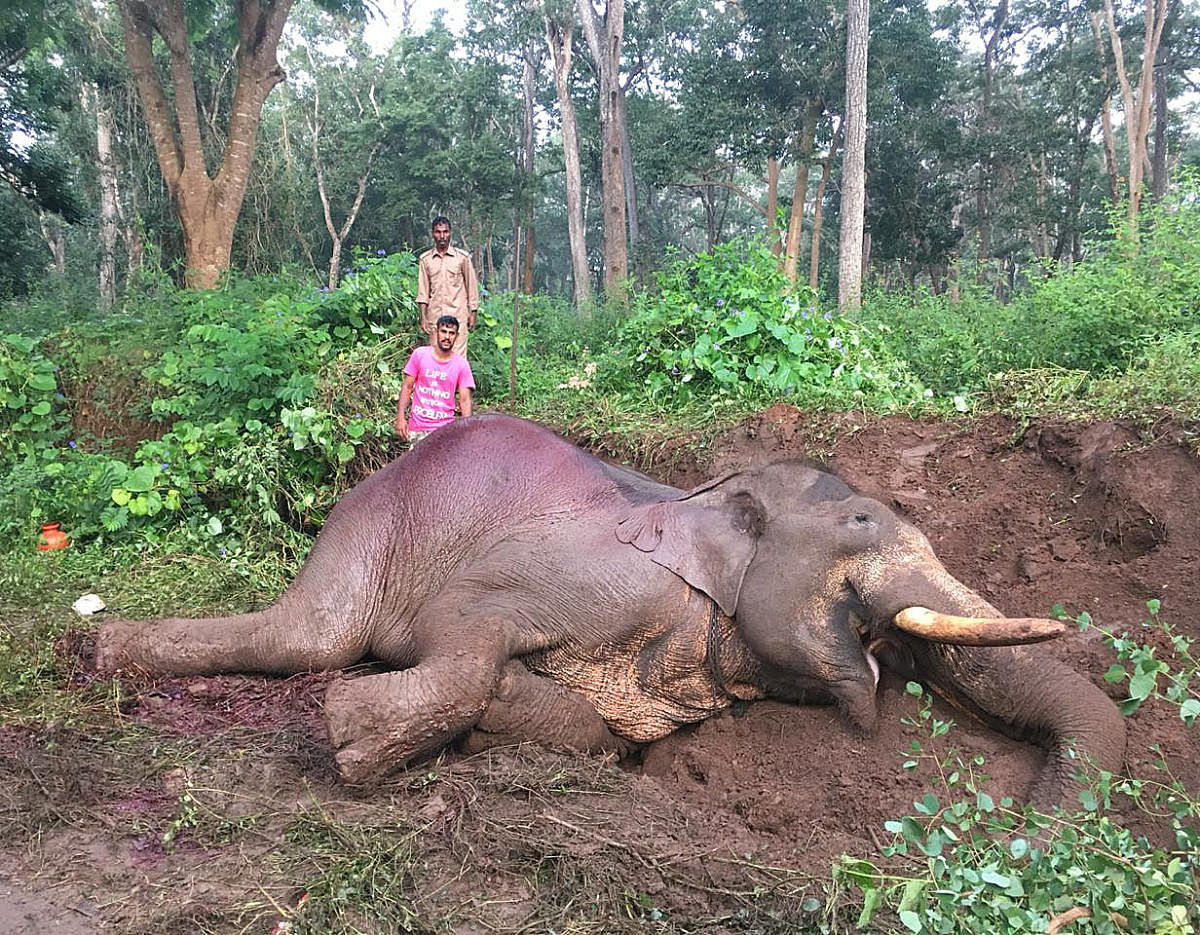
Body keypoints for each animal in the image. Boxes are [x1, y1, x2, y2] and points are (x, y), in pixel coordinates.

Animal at [96, 412, 1123, 806]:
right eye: (863, 519)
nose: (1027, 815)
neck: (705, 497)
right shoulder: (579, 570)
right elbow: (458, 628)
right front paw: (352, 740)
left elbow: (599, 729)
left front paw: (500, 720)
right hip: (370, 529)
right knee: (310, 635)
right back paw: (104, 648)